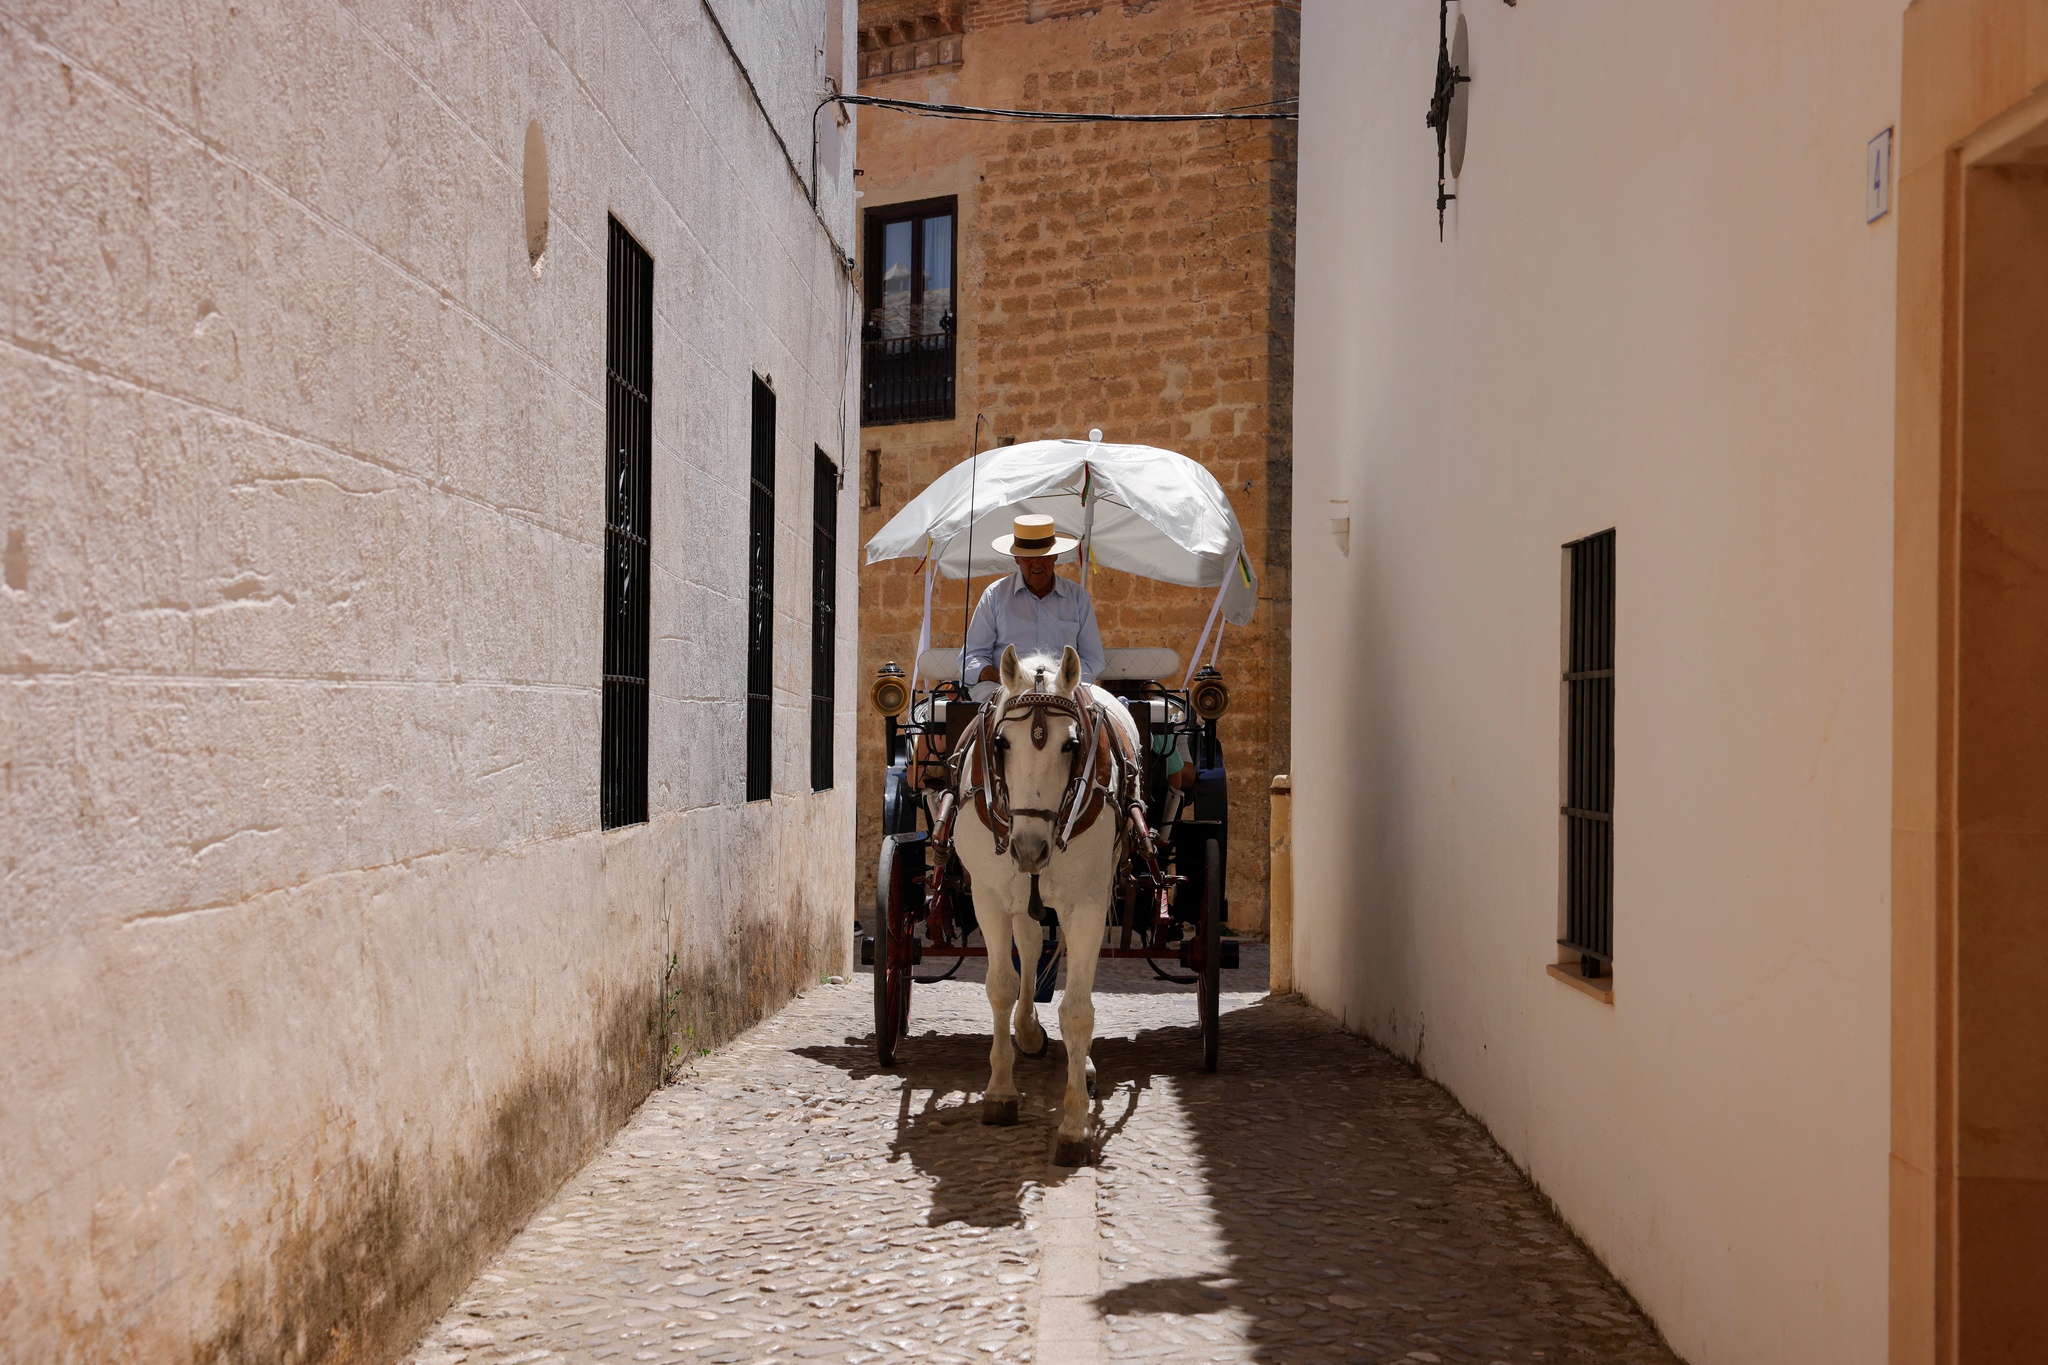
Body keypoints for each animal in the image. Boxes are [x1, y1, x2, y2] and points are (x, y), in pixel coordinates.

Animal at [946, 646, 1138, 1170]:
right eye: (1001, 743)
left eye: (1070, 745)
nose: (1029, 849)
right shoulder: (989, 896)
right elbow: (1000, 987)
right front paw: (999, 1092)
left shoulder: (1089, 903)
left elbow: (1078, 1011)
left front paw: (1074, 1126)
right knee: (1030, 947)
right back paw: (1028, 1032)